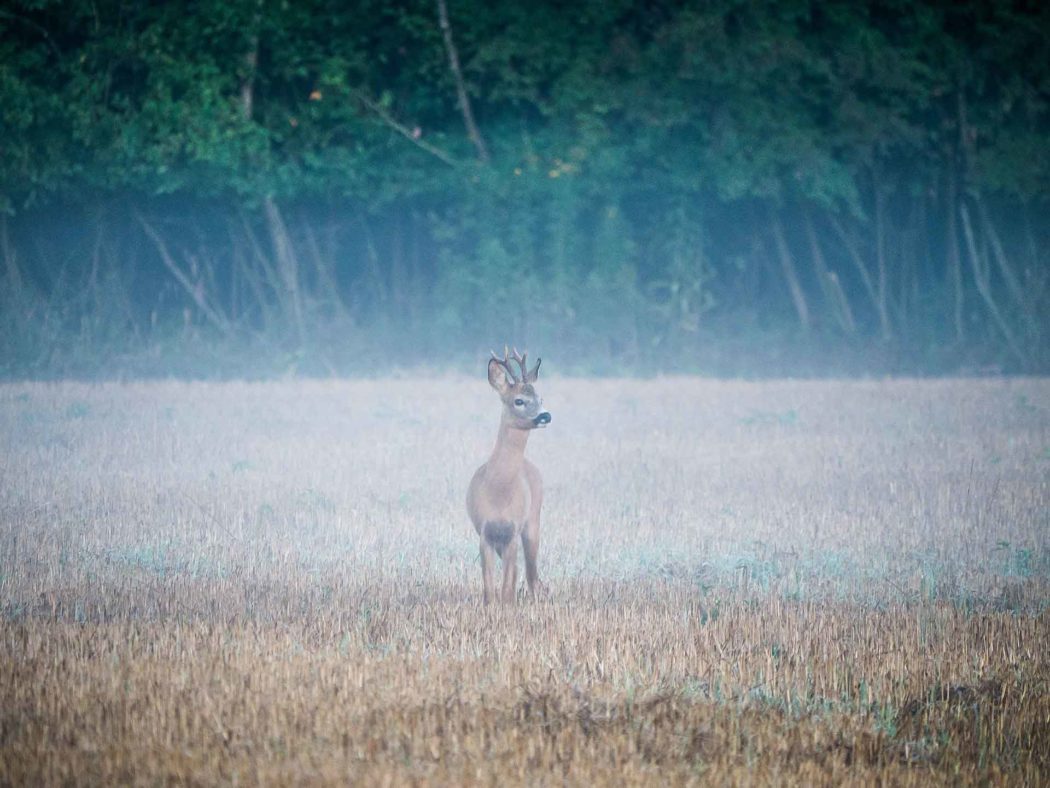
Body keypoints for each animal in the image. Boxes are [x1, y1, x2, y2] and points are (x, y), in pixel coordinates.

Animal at [466, 344, 550, 605]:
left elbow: (506, 589)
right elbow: (489, 588)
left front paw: (508, 607)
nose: (545, 415)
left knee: (531, 574)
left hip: (533, 521)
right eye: (519, 400)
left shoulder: (513, 531)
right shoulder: (485, 532)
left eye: (541, 398)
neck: (499, 490)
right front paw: (490, 607)